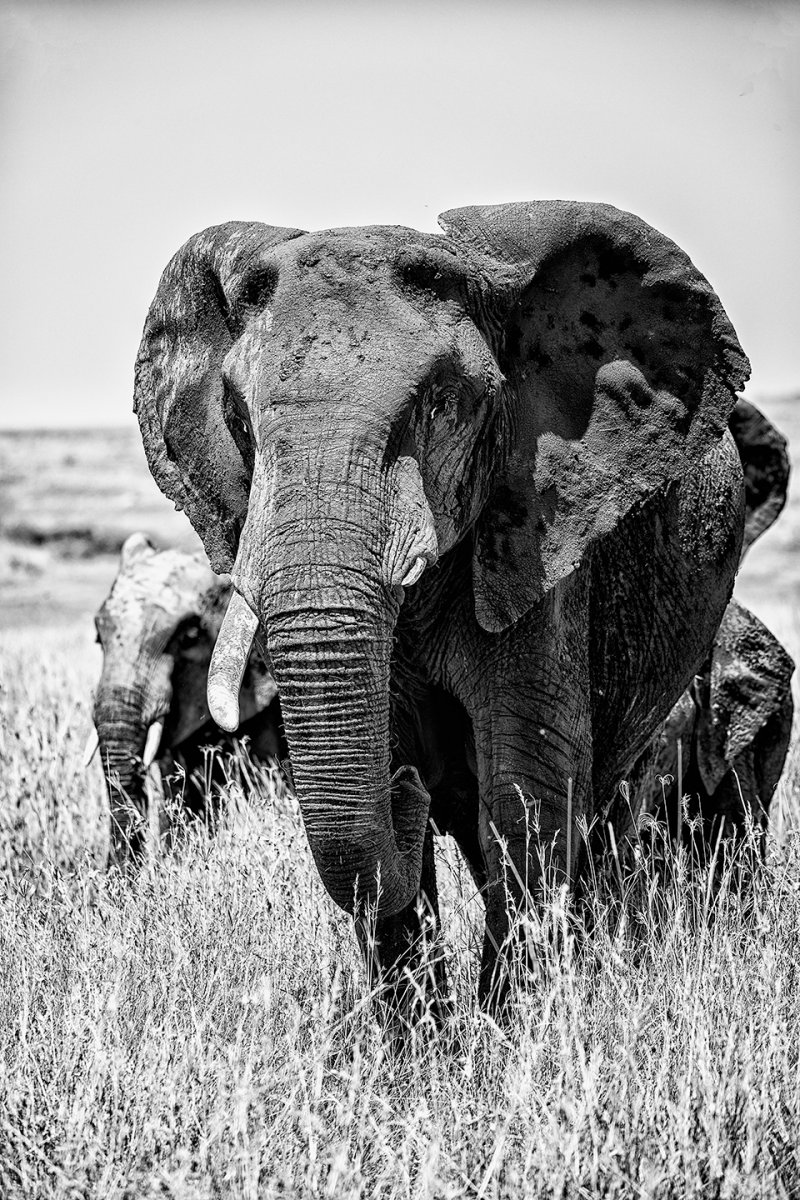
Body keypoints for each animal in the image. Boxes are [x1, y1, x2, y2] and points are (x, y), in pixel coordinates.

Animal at [134, 200, 753, 1014]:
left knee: (608, 806)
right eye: (238, 419)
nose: (405, 791)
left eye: (439, 406)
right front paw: (429, 1041)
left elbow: (526, 791)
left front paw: (510, 1030)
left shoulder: (539, 536)